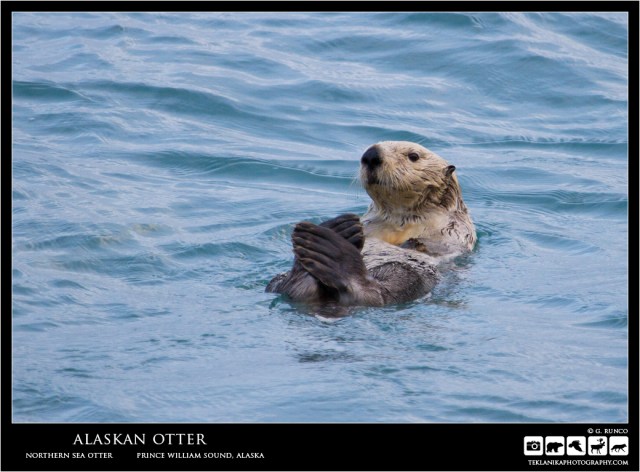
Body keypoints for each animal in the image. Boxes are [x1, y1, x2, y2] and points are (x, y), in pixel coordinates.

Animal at [266, 141, 476, 307]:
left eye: (413, 156)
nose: (371, 155)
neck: (399, 223)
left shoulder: (455, 231)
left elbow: (436, 246)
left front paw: (411, 243)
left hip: (408, 275)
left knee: (377, 293)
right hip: (280, 279)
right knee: (280, 285)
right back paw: (334, 232)